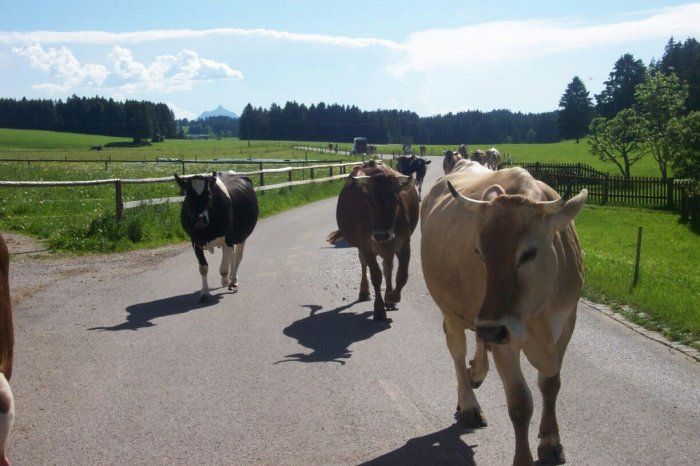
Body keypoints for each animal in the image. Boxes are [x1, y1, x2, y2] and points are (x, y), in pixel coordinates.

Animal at [175, 171, 259, 302]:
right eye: (188, 195)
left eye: (209, 194)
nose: (200, 219)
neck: (207, 231)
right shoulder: (195, 241)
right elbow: (203, 268)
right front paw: (204, 293)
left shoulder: (228, 239)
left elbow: (223, 269)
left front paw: (226, 281)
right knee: (232, 257)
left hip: (241, 236)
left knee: (237, 256)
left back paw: (233, 281)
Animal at [333, 160, 419, 321]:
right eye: (370, 201)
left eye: (395, 200)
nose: (380, 235)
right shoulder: (366, 245)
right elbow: (375, 276)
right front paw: (379, 309)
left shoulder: (404, 243)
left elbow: (402, 275)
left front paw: (392, 297)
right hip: (362, 246)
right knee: (364, 264)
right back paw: (364, 292)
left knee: (388, 268)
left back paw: (389, 296)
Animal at [420, 167, 587, 465]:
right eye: (479, 252)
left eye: (528, 254)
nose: (491, 329)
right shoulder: (503, 336)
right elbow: (520, 403)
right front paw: (523, 458)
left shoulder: (566, 323)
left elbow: (550, 385)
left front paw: (551, 441)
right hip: (454, 311)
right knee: (457, 349)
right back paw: (469, 405)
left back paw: (476, 371)